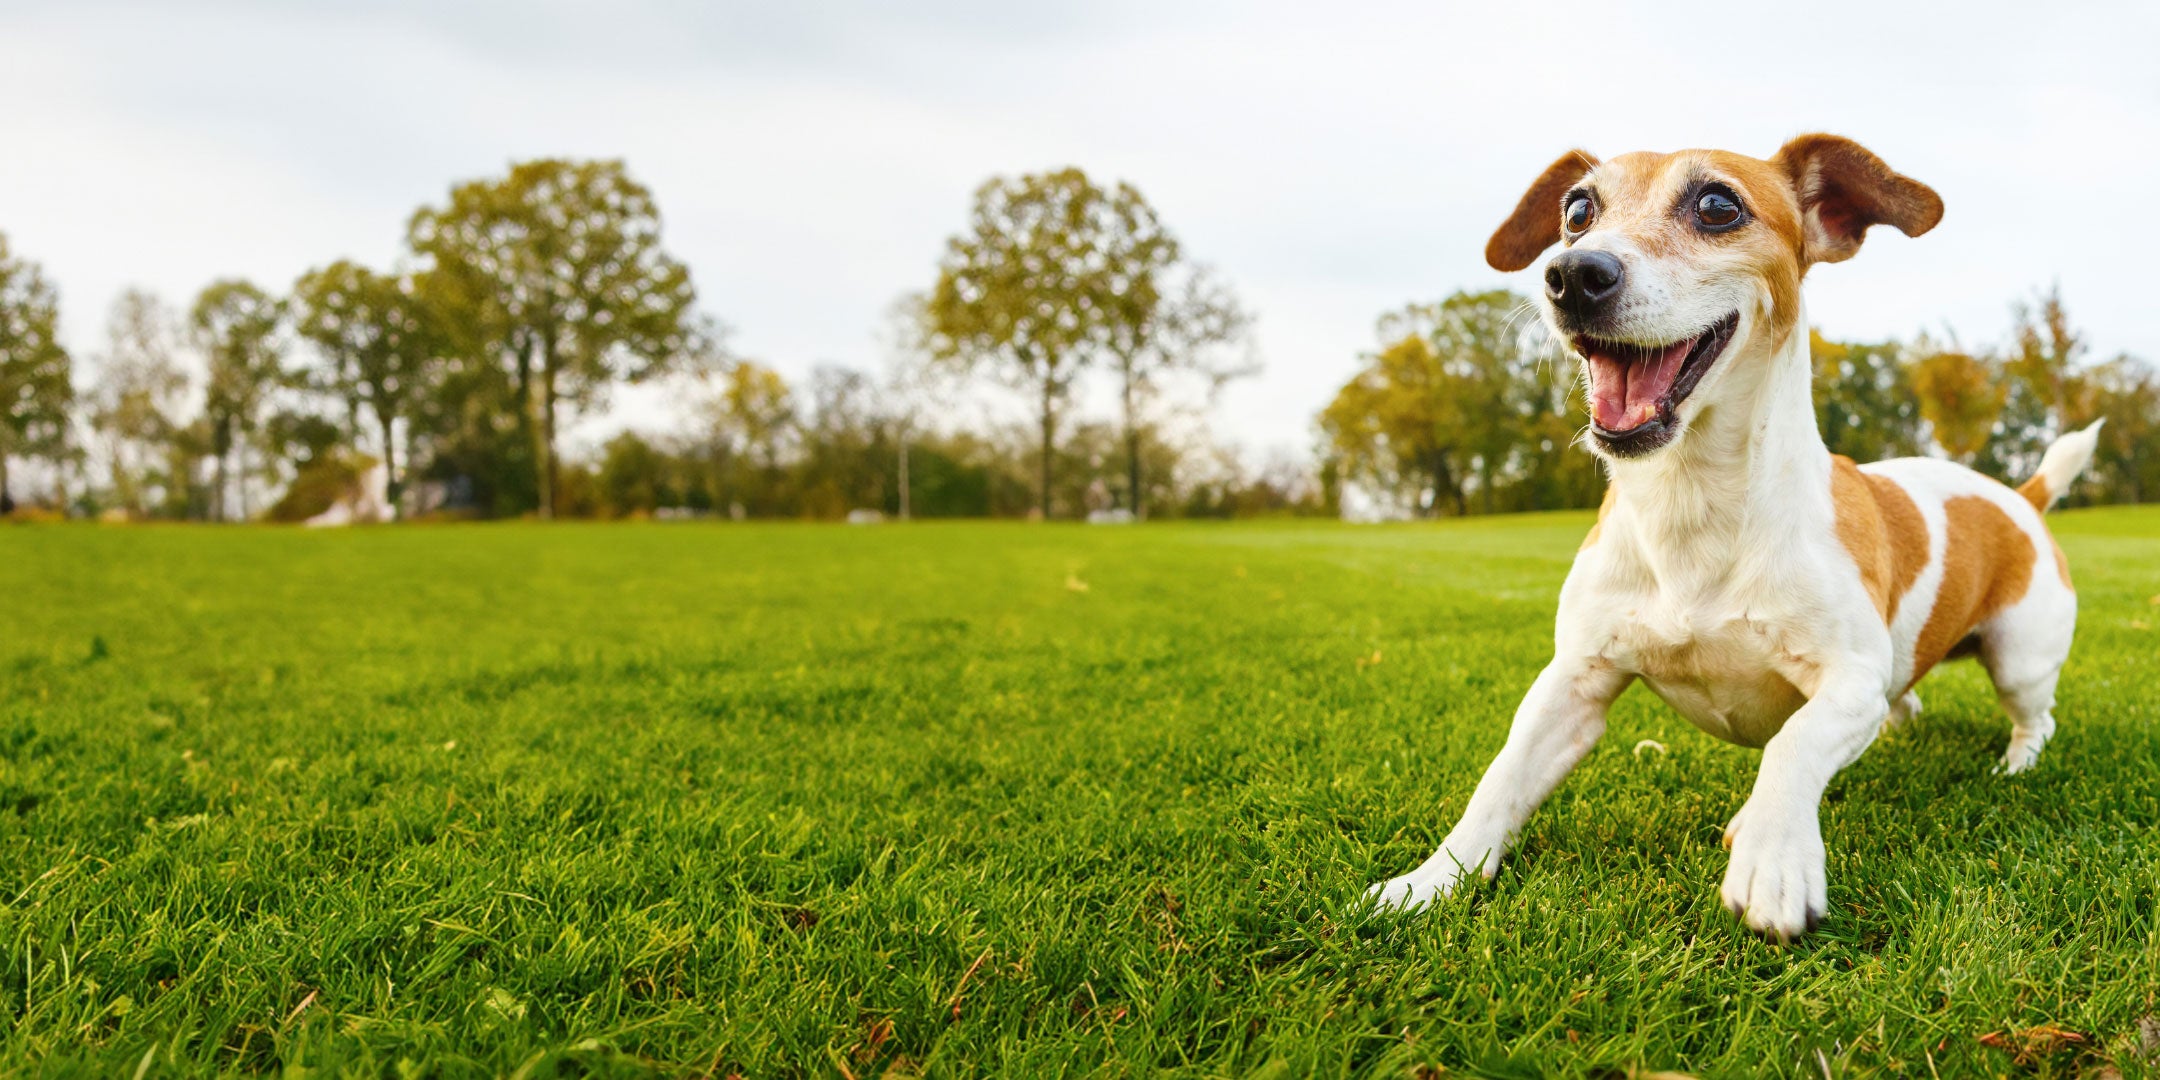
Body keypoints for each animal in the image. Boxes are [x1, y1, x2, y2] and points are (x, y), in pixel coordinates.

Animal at [1373, 135, 2099, 941]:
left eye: (1718, 205)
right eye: (1577, 211)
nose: (1574, 274)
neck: (1692, 504)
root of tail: (2020, 496)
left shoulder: (1849, 680)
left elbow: (1792, 744)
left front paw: (1772, 856)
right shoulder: (1572, 683)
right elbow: (1498, 782)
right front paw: (1429, 881)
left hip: (2020, 658)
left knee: (2034, 717)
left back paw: (2016, 763)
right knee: (1903, 701)